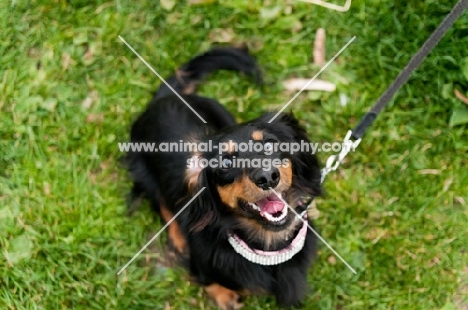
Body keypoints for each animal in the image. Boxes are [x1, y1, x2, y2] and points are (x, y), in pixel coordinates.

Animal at [126, 45, 324, 308]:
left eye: (270, 144)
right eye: (226, 162)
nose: (267, 178)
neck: (270, 245)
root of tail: (163, 99)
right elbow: (209, 279)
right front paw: (225, 296)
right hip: (144, 173)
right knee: (162, 204)